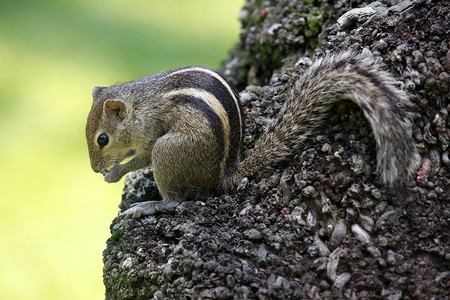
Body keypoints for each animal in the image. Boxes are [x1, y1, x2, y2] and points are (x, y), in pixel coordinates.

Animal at [85, 50, 422, 217]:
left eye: (102, 139)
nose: (94, 169)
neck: (139, 104)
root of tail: (221, 176)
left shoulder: (151, 133)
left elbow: (141, 158)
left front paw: (114, 174)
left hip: (169, 151)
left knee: (175, 202)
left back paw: (148, 206)